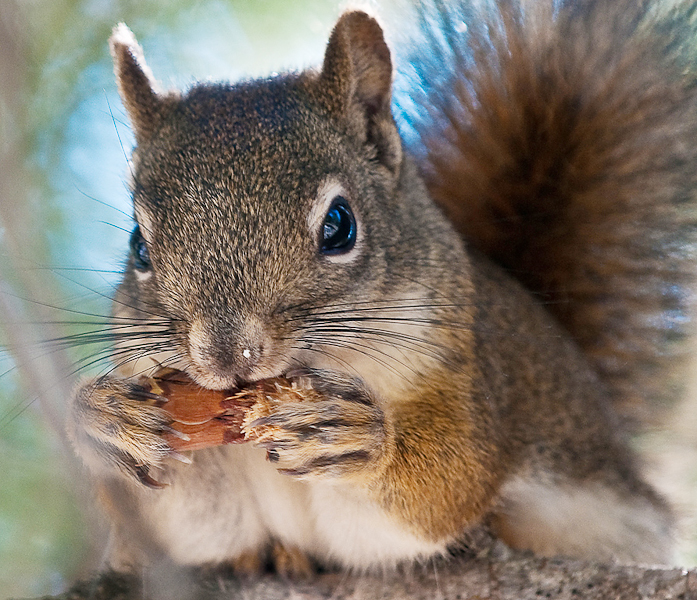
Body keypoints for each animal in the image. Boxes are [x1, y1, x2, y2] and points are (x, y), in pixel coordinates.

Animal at [65, 0, 696, 576]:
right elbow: (185, 528)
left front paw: (364, 440)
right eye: (138, 246)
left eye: (339, 225)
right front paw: (104, 423)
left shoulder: (463, 379)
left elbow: (448, 487)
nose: (227, 356)